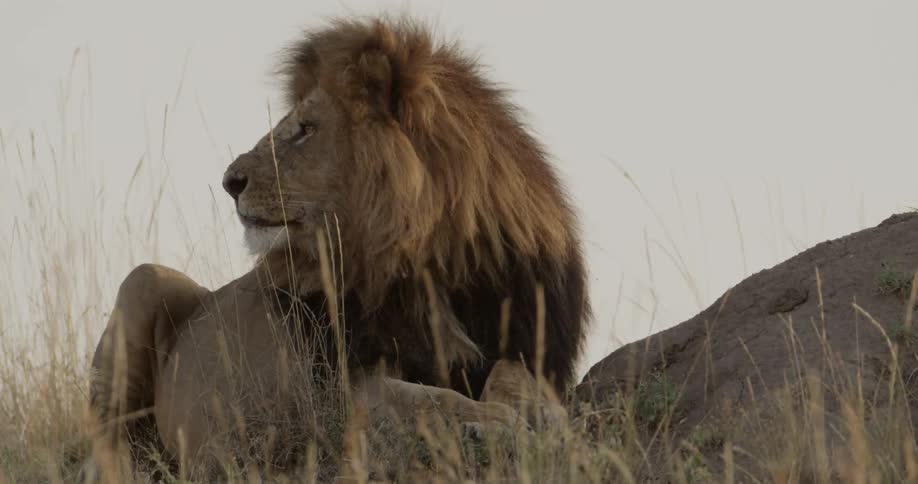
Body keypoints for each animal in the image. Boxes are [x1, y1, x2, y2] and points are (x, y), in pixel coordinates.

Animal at [85, 15, 589, 478]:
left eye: (306, 128)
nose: (229, 182)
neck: (429, 262)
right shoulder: (340, 385)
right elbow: (426, 397)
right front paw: (495, 422)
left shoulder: (527, 344)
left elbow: (513, 375)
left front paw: (542, 418)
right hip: (145, 281)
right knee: (107, 441)